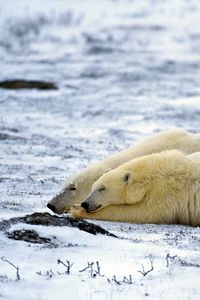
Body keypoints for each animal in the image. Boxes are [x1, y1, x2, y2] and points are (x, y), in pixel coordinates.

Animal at [71, 151, 200, 226]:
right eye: (91, 188)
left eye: (102, 188)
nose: (85, 203)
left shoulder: (165, 191)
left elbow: (143, 211)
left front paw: (76, 210)